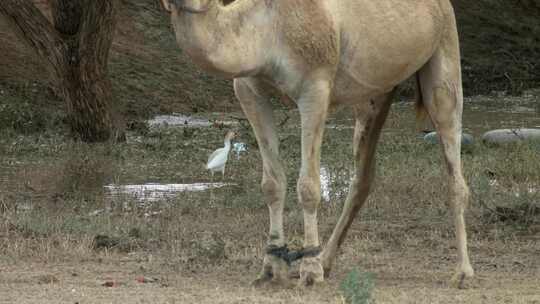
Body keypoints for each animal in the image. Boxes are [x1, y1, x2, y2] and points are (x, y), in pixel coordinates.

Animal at [159, 0, 472, 288]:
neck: (266, 27)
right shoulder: (249, 90)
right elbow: (272, 183)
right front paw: (271, 266)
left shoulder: (315, 89)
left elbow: (308, 186)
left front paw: (309, 270)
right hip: (375, 94)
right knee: (363, 174)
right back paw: (327, 260)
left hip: (445, 48)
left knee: (452, 158)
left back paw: (462, 272)